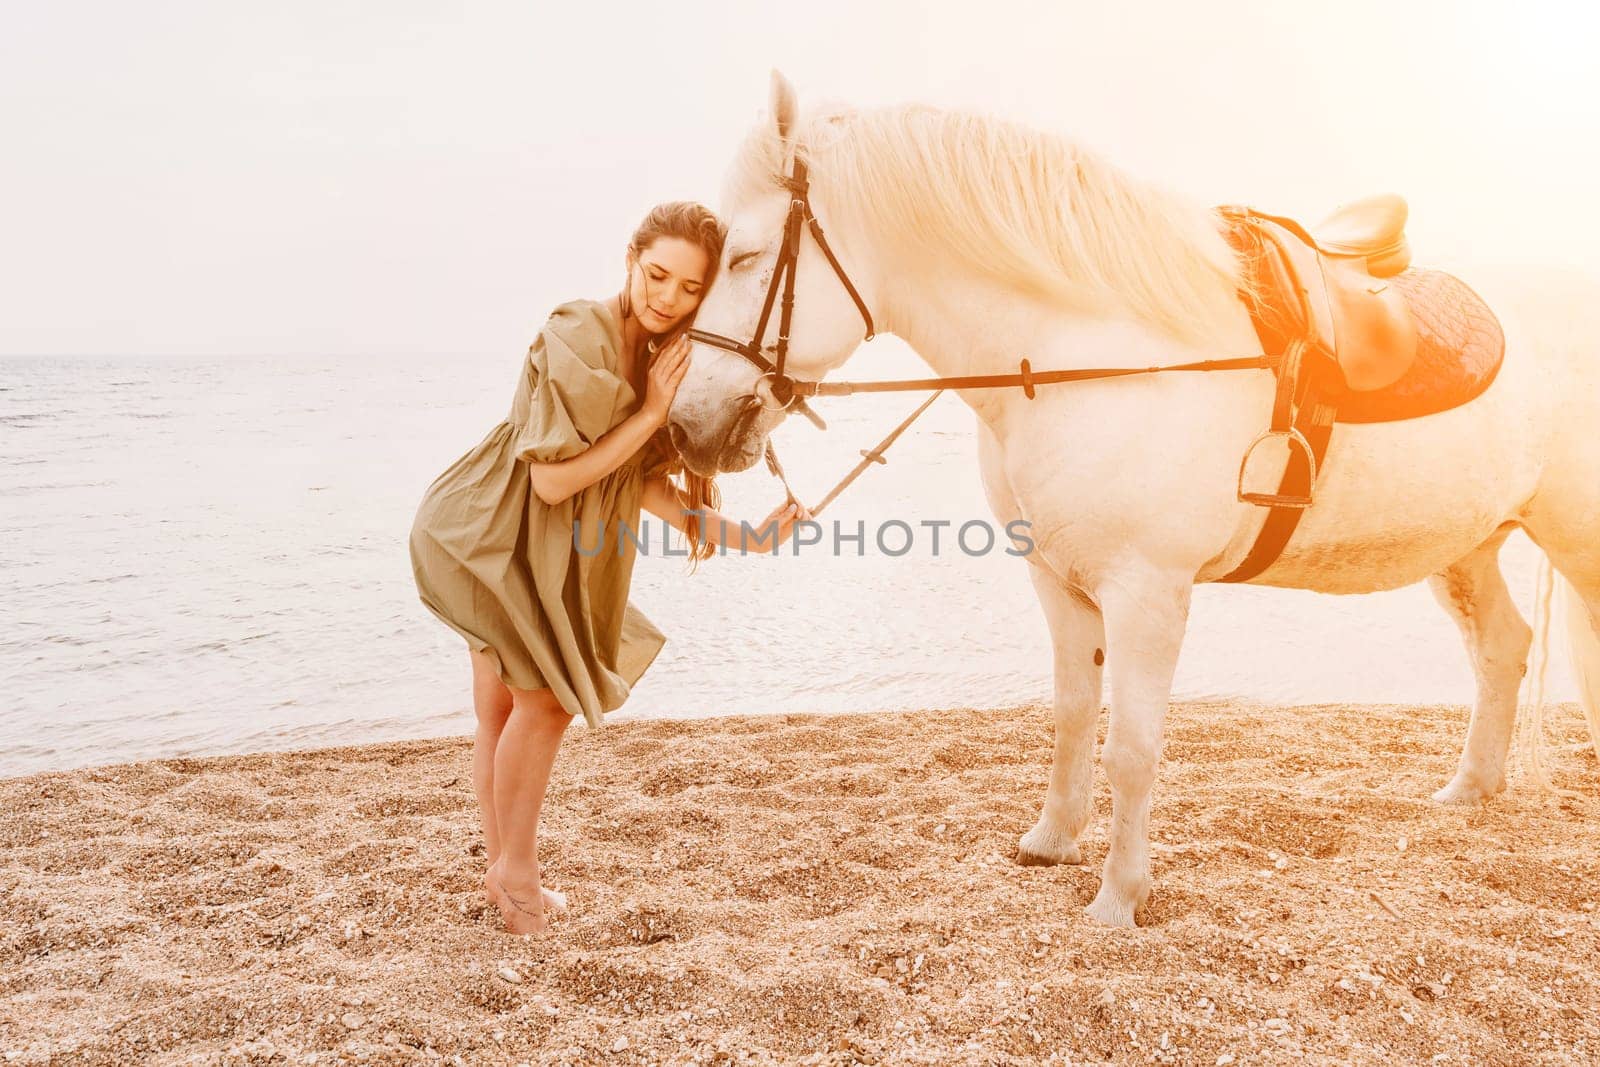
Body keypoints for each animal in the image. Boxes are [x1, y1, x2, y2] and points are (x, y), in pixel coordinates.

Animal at [665, 75, 1600, 927]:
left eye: (745, 258)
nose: (685, 426)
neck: (1094, 352)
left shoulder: (1147, 591)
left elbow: (1134, 748)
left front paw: (1118, 896)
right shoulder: (1059, 580)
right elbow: (1075, 716)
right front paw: (1051, 840)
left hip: (1572, 545)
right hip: (1469, 543)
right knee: (1502, 648)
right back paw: (1469, 789)